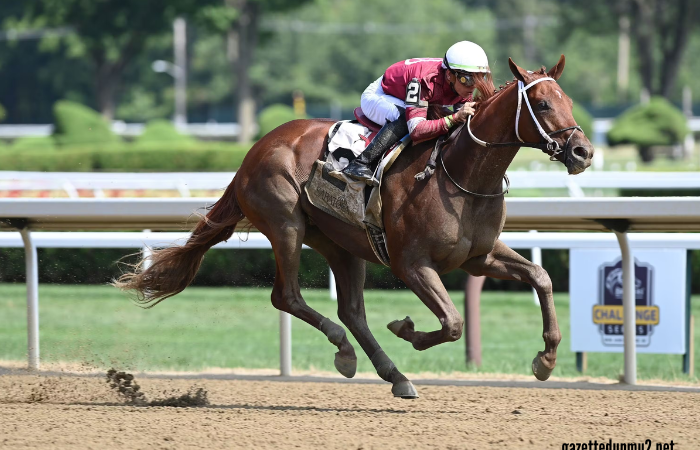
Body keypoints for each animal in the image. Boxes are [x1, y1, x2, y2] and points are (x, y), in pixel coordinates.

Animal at [115, 56, 592, 398]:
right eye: (543, 104)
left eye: (569, 100)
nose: (583, 152)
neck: (462, 175)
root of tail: (256, 149)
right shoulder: (411, 264)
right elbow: (453, 322)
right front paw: (408, 330)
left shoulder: (478, 256)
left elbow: (541, 276)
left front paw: (546, 359)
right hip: (286, 225)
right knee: (288, 296)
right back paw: (345, 351)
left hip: (340, 243)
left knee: (352, 311)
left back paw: (394, 375)